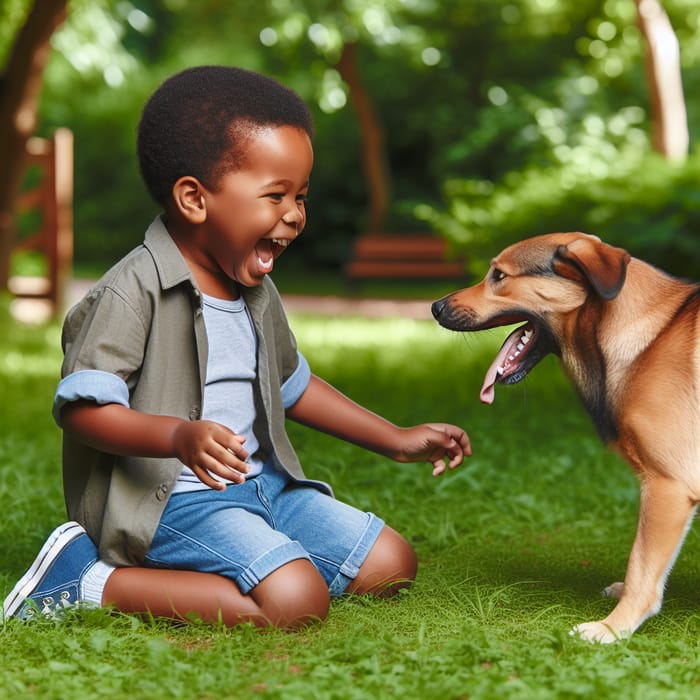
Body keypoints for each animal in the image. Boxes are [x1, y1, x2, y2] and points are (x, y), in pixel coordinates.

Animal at [432, 232, 700, 644]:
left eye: (498, 275)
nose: (434, 307)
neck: (652, 337)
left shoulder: (668, 486)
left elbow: (641, 563)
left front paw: (613, 627)